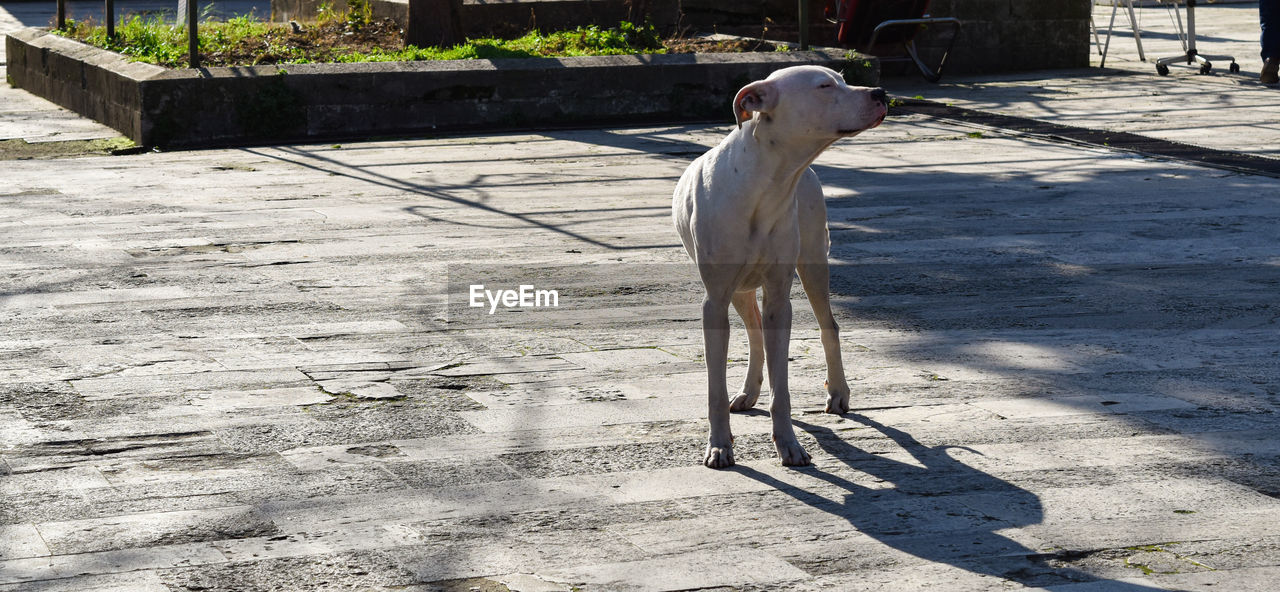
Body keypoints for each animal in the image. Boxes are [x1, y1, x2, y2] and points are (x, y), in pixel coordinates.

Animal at [675, 65, 885, 466]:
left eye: (843, 79)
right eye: (825, 86)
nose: (881, 92)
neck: (768, 182)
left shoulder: (779, 298)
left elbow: (782, 385)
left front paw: (788, 443)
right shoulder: (714, 302)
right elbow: (715, 385)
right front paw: (719, 445)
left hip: (813, 261)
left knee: (827, 325)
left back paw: (837, 391)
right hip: (738, 289)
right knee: (753, 330)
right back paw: (748, 391)